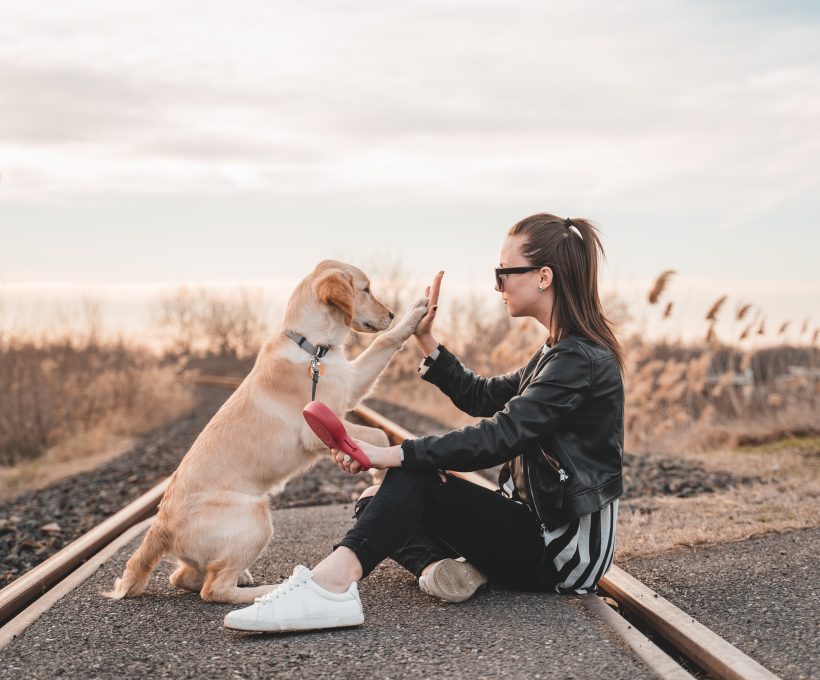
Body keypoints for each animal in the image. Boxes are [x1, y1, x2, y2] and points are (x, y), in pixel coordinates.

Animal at [104, 262, 430, 604]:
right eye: (366, 289)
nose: (391, 313)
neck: (313, 348)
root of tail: (160, 526)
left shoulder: (351, 385)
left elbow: (384, 342)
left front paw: (415, 313)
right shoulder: (317, 426)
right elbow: (379, 435)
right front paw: (379, 474)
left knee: (182, 577)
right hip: (256, 515)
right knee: (213, 589)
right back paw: (269, 590)